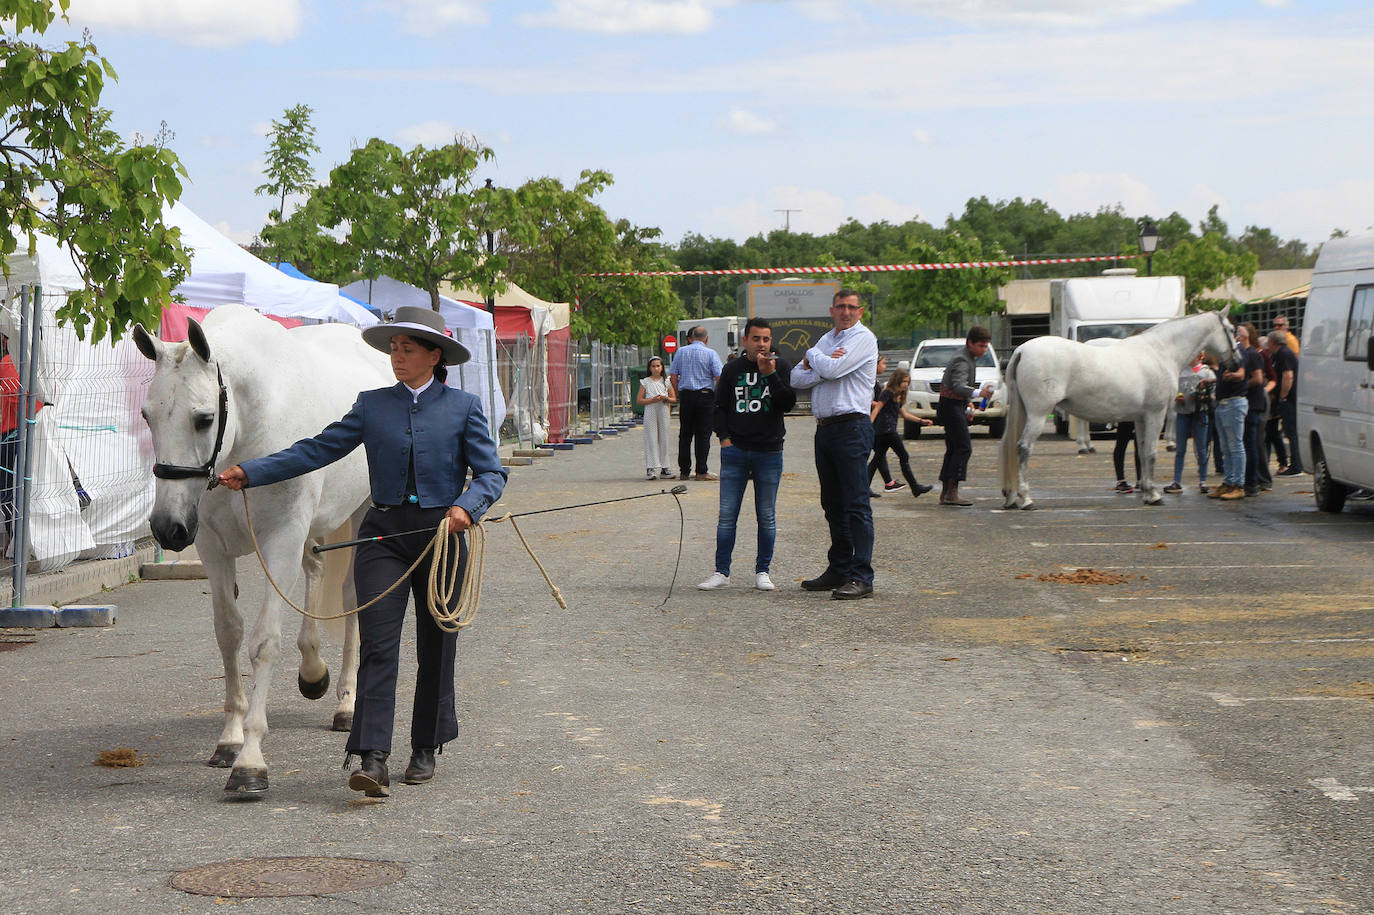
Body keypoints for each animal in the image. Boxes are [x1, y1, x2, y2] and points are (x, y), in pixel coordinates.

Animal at [131, 306, 392, 791]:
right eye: (147, 415)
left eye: (203, 418)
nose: (168, 528)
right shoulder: (214, 548)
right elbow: (228, 634)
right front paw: (230, 738)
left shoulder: (281, 538)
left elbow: (265, 641)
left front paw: (250, 760)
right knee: (314, 574)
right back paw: (313, 673)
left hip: (361, 513)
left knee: (352, 599)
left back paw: (347, 703)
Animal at [994, 306, 1242, 505]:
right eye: (1231, 330)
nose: (1237, 363)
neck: (1160, 352)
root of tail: (1022, 350)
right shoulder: (1156, 414)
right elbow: (1151, 452)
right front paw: (1155, 496)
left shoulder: (1141, 418)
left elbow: (1142, 452)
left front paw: (1148, 492)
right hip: (1037, 414)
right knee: (1023, 448)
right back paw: (1026, 498)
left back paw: (1010, 497)